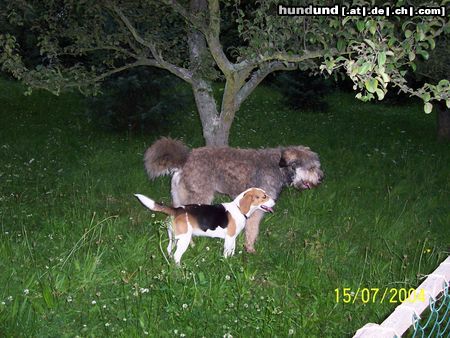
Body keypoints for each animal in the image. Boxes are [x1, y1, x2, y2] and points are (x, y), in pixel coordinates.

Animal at [144, 139, 324, 252]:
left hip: (179, 196)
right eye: (311, 168)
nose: (322, 178)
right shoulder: (256, 210)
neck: (279, 168)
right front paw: (250, 248)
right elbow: (252, 230)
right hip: (199, 198)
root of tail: (185, 159)